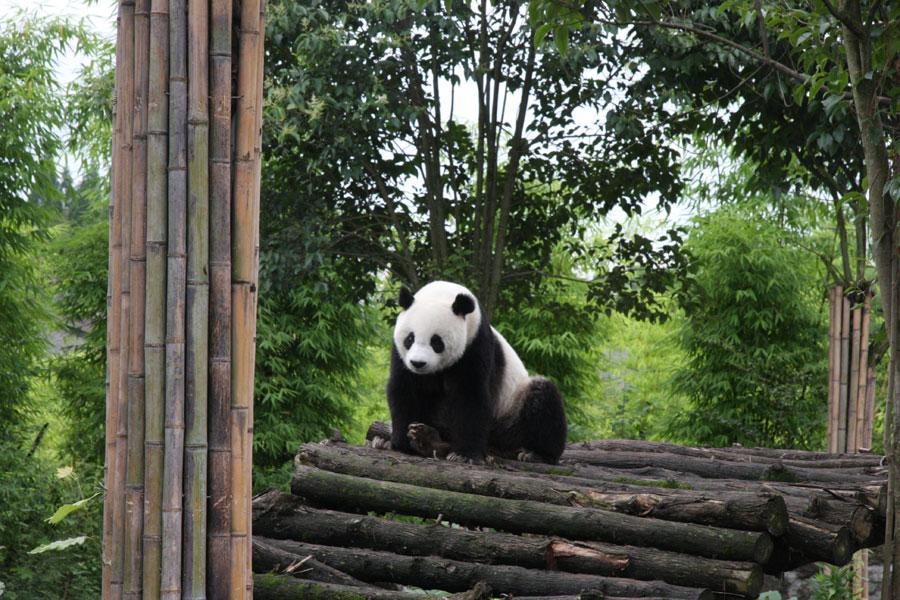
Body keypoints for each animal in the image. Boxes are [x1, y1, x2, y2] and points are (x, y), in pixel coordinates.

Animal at [374, 282, 568, 464]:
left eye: (436, 342)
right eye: (410, 339)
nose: (418, 363)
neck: (444, 293)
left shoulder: (475, 345)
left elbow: (470, 396)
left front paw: (464, 455)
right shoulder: (401, 356)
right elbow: (404, 390)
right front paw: (400, 443)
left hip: (511, 409)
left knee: (543, 399)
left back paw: (536, 454)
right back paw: (417, 440)